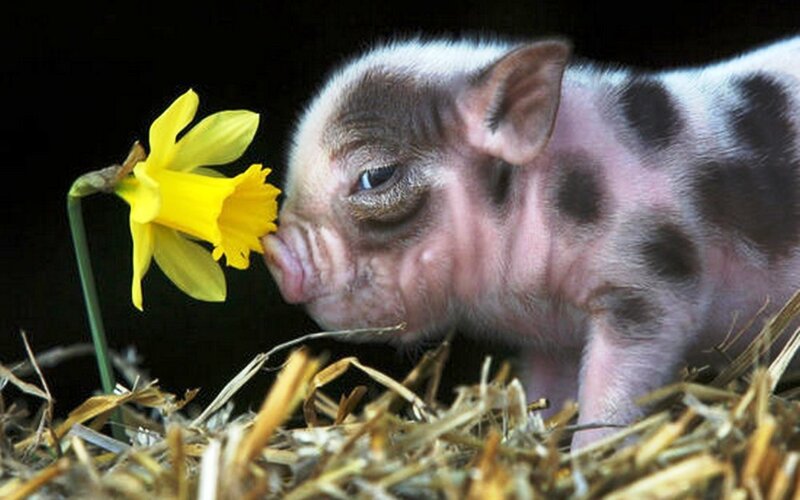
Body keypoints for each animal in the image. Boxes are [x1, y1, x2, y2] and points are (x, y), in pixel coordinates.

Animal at [264, 35, 800, 447]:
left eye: (376, 175)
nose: (275, 253)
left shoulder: (650, 285)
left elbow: (613, 396)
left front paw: (588, 457)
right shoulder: (552, 339)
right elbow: (548, 393)